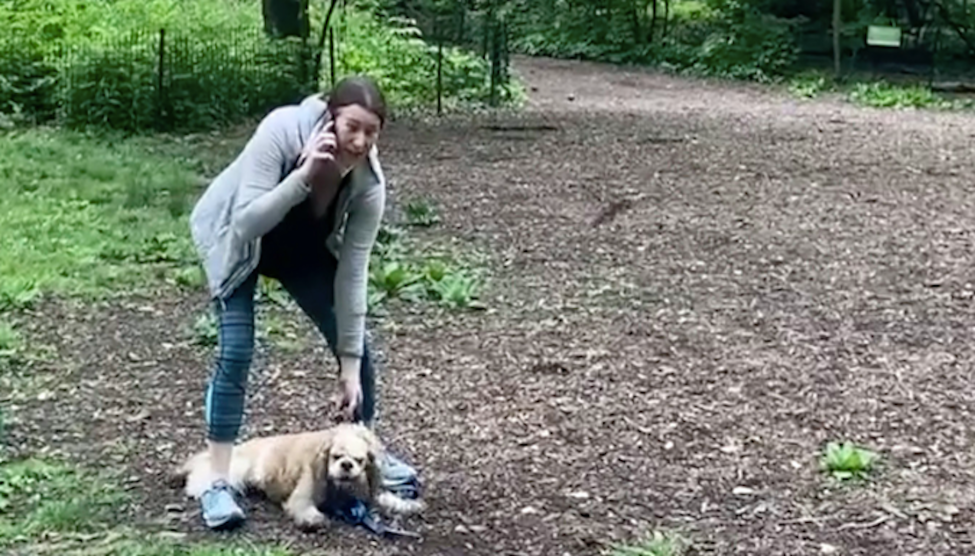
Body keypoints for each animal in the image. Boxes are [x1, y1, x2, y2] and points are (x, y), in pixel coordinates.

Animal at [173, 423, 424, 529]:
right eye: (336, 456)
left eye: (359, 460)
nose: (346, 465)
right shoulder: (303, 495)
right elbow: (304, 507)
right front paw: (314, 520)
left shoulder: (363, 495)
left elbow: (386, 498)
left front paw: (407, 505)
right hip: (237, 469)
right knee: (205, 474)